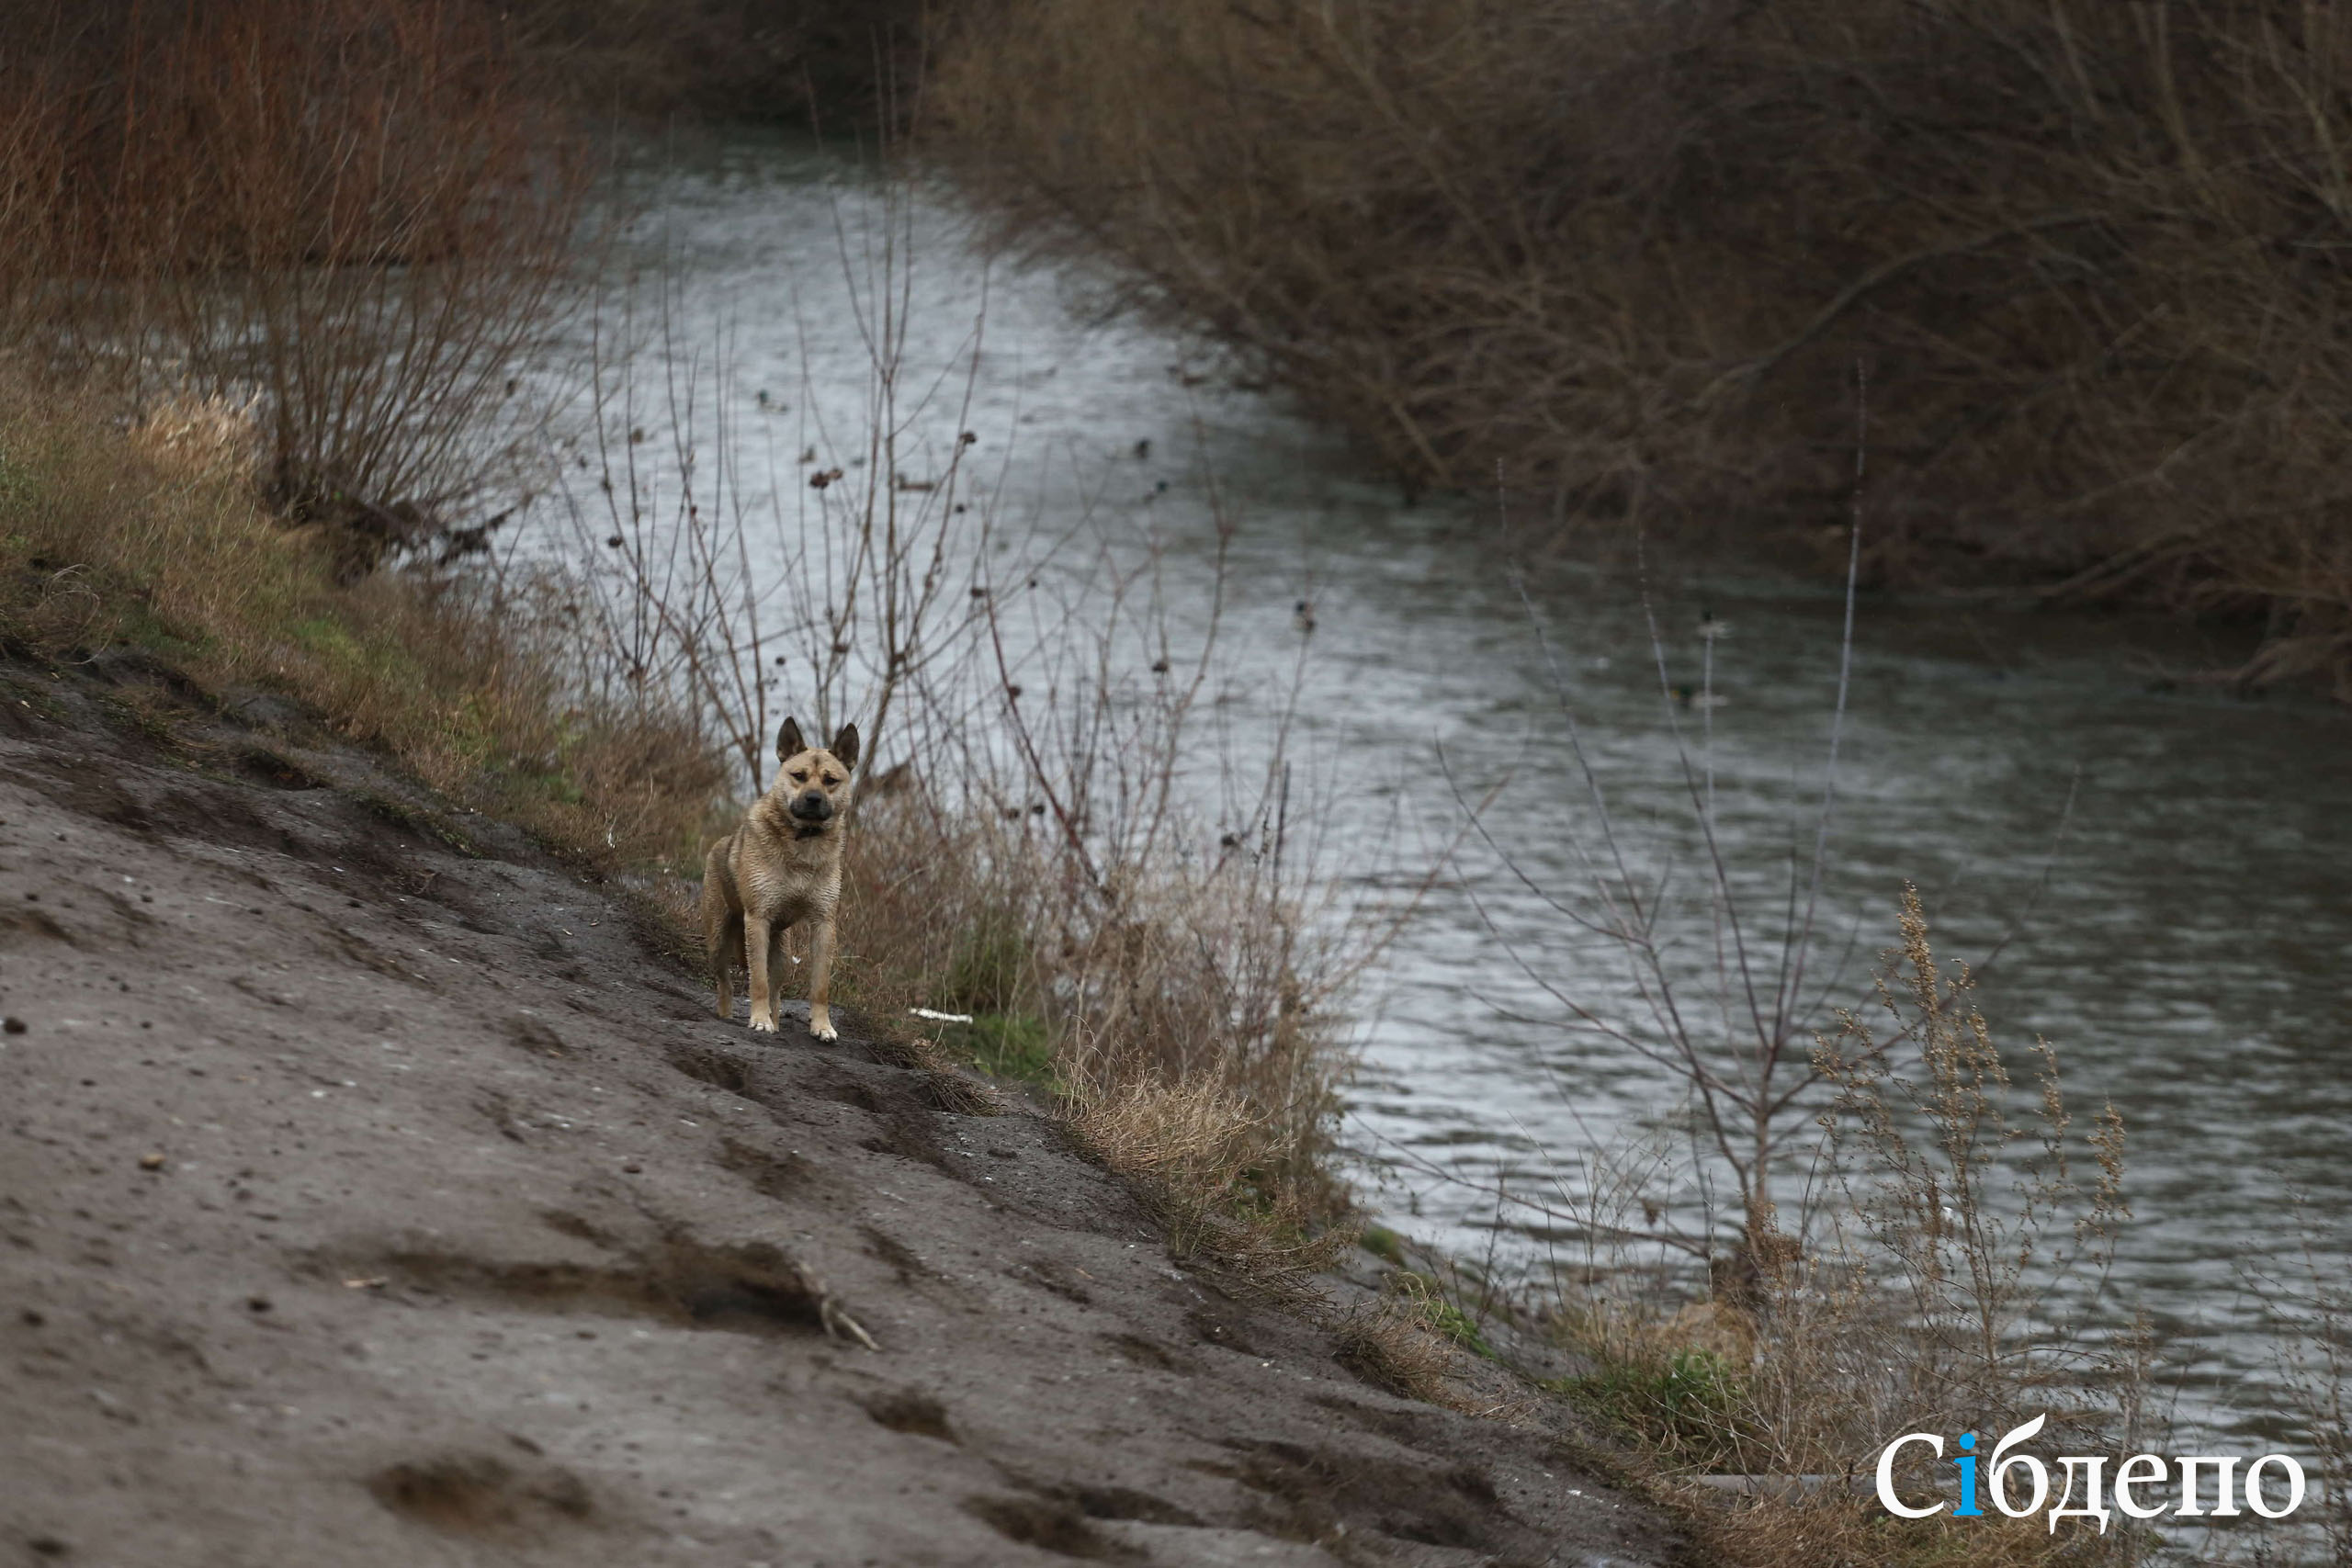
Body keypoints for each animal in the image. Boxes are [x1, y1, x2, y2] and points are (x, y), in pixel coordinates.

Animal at [695, 715, 865, 1034]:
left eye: (830, 780)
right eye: (798, 775)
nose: (813, 799)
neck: (803, 842)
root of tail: (718, 845)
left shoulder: (824, 923)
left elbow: (819, 987)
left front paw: (822, 1026)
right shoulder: (758, 919)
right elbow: (758, 982)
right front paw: (759, 1020)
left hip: (784, 955)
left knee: (776, 991)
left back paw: (775, 1021)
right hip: (718, 940)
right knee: (726, 983)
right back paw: (727, 1014)